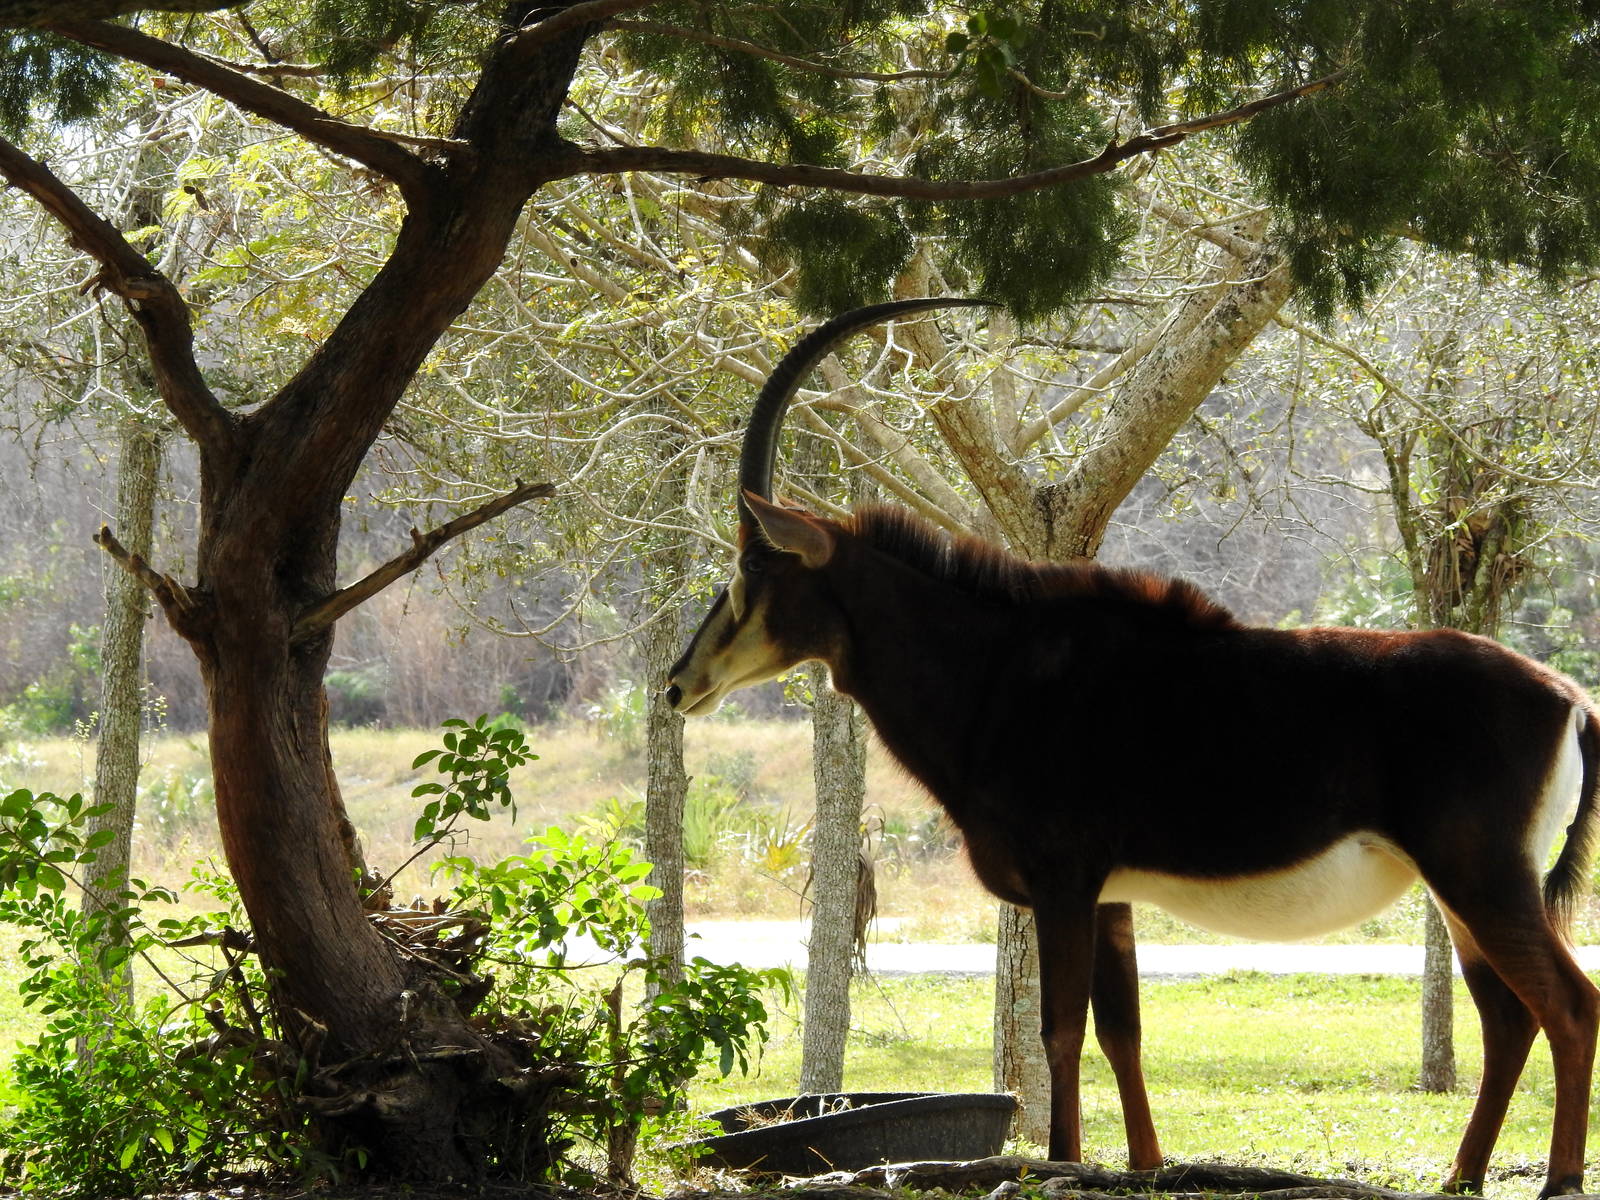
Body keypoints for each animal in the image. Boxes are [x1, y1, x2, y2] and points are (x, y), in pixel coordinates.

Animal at [666, 298, 1600, 1198]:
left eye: (752, 571)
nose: (678, 685)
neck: (995, 669)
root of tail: (1568, 701)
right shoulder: (1110, 895)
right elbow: (1123, 1032)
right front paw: (1147, 1167)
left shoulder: (1062, 883)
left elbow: (1061, 1029)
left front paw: (1064, 1163)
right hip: (1459, 891)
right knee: (1509, 1017)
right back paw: (1462, 1174)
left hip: (1481, 878)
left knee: (1569, 1003)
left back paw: (1556, 1179)